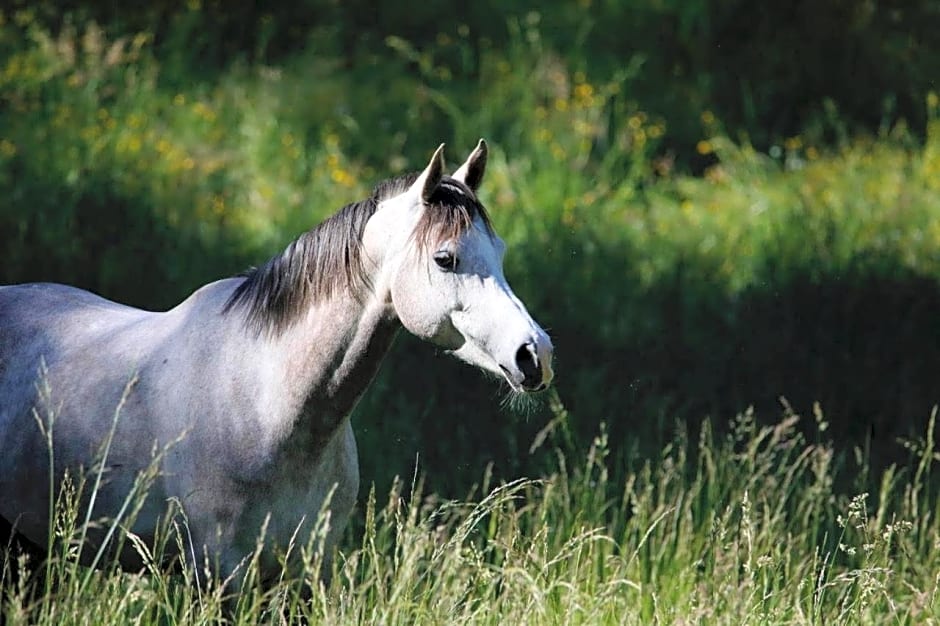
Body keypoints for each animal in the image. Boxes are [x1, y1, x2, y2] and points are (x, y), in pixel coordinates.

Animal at [0, 140, 552, 584]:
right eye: (445, 258)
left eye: (499, 251)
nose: (535, 354)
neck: (267, 405)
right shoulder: (221, 577)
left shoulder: (306, 573)